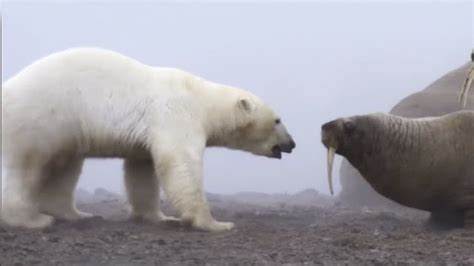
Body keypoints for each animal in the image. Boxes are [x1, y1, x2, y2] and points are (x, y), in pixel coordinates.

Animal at [0, 47, 296, 231]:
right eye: (277, 120)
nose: (292, 144)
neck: (202, 98)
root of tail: (7, 88)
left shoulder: (147, 137)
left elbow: (141, 170)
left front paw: (159, 218)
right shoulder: (177, 113)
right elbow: (181, 164)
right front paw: (215, 223)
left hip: (65, 129)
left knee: (66, 166)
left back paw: (76, 214)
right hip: (43, 117)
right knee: (29, 167)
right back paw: (32, 219)